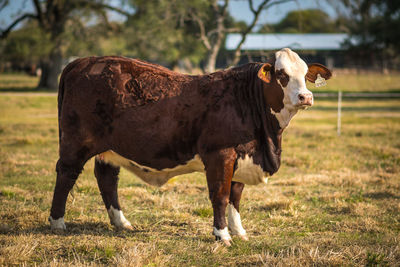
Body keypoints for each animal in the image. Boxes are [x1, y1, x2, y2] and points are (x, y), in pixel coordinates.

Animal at [49, 48, 332, 247]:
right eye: (282, 74)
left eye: (305, 75)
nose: (306, 97)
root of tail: (81, 62)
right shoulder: (220, 155)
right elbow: (220, 196)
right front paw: (222, 235)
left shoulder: (241, 157)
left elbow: (235, 196)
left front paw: (239, 231)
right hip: (76, 143)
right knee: (66, 174)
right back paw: (57, 222)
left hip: (110, 148)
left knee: (107, 178)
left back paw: (121, 222)